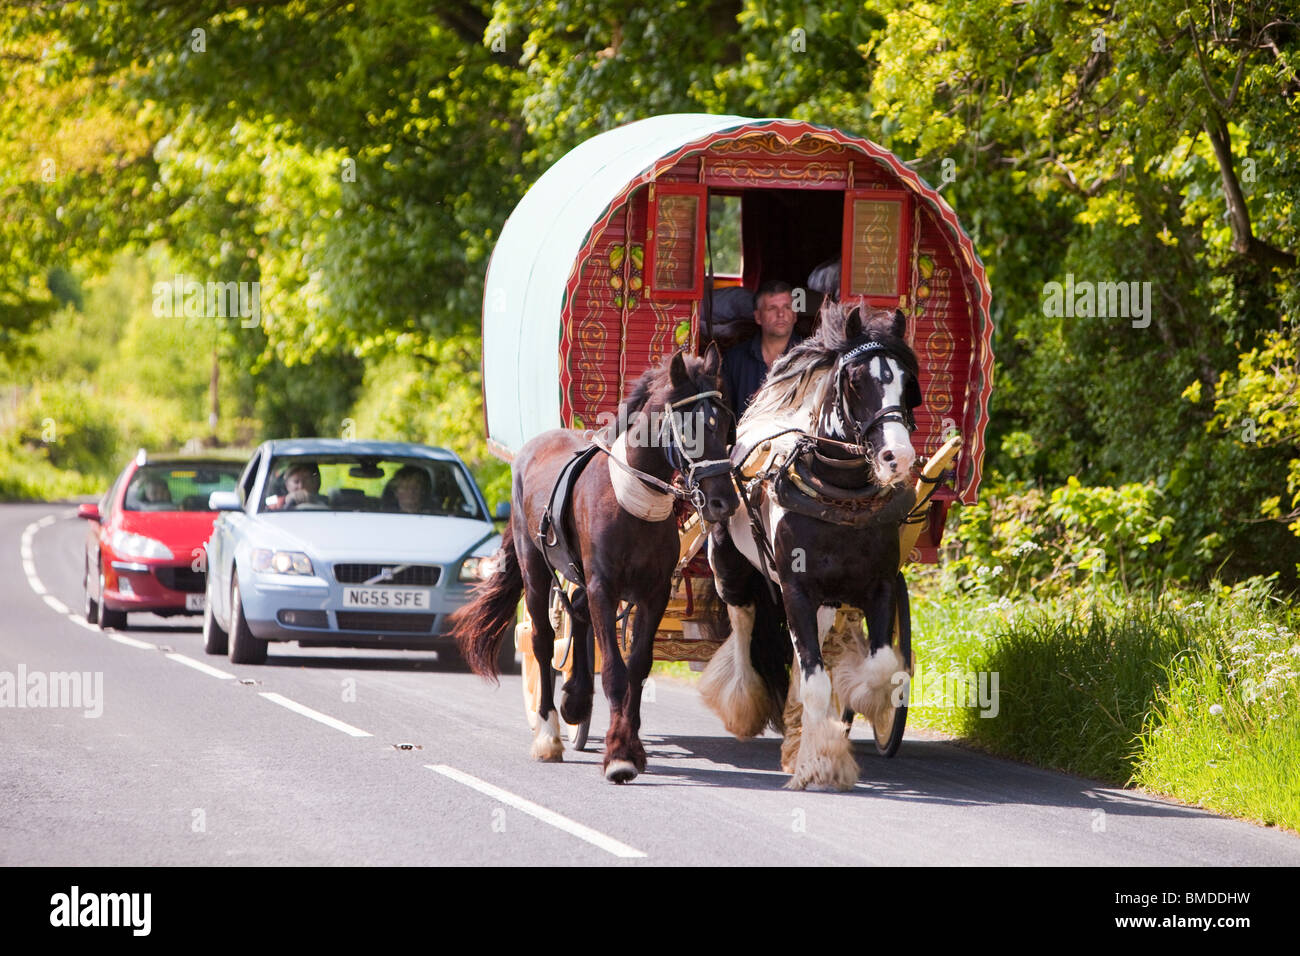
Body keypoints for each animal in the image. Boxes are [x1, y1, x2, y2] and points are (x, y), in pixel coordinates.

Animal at [449, 351, 738, 785]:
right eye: (690, 429)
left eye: (725, 422)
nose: (725, 501)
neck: (630, 504)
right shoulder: (605, 587)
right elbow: (615, 672)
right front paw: (618, 756)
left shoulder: (653, 594)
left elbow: (637, 669)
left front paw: (630, 746)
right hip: (535, 570)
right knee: (542, 639)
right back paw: (548, 731)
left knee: (580, 617)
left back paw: (576, 700)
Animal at [702, 304, 925, 790]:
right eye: (856, 380)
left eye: (907, 382)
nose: (898, 458)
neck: (840, 496)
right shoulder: (797, 590)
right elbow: (815, 679)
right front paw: (821, 762)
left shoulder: (879, 586)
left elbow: (879, 665)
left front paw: (861, 697)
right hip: (729, 567)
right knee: (743, 625)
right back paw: (744, 704)